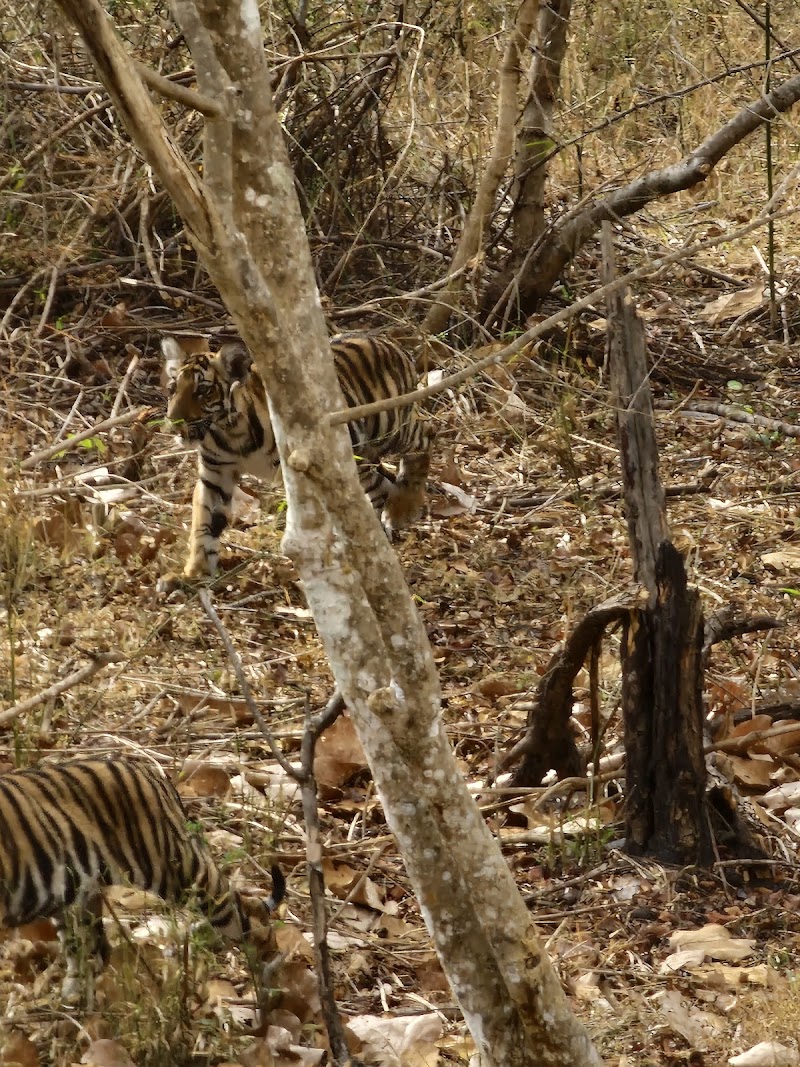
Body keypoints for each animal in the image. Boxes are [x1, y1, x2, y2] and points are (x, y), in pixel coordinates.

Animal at [0, 757, 285, 1002]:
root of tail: (152, 773)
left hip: (177, 868)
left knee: (234, 906)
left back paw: (266, 984)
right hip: (77, 897)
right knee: (92, 950)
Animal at [160, 331, 434, 583]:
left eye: (202, 391)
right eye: (173, 388)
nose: (174, 421)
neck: (231, 433)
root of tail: (389, 342)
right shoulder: (215, 474)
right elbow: (203, 521)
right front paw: (195, 570)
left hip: (392, 426)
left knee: (425, 435)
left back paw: (402, 508)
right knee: (376, 487)